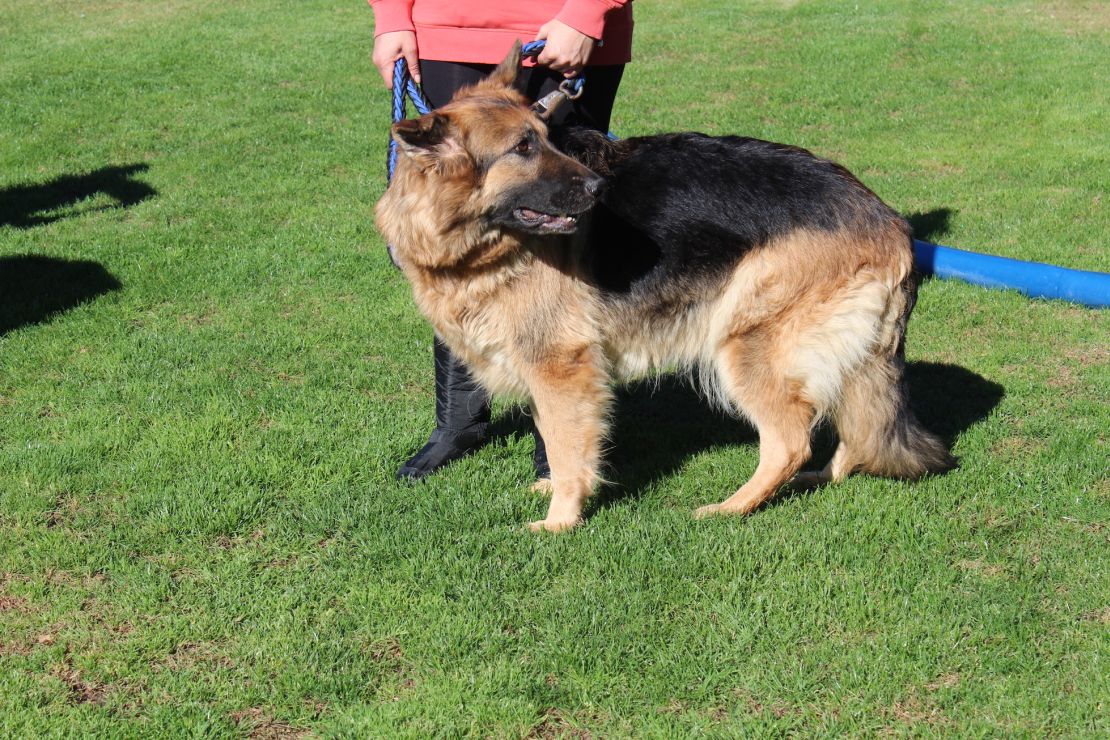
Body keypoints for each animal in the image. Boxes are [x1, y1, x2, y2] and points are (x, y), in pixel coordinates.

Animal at [375, 43, 954, 532]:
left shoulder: (560, 365)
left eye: (541, 139)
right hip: (842, 354)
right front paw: (554, 491)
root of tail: (891, 221)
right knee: (856, 428)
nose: (598, 188)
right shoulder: (544, 365)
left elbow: (565, 444)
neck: (475, 242)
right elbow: (555, 434)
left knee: (791, 441)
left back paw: (732, 507)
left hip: (744, 341)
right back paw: (814, 480)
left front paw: (561, 520)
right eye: (522, 147)